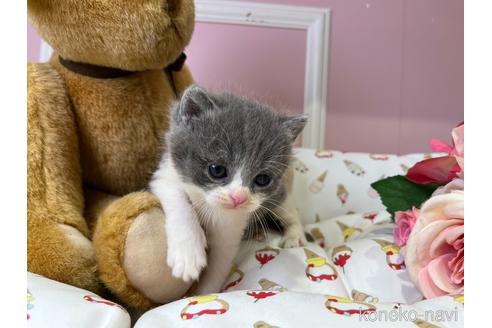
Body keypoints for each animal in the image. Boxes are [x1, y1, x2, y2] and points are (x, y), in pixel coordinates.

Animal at [150, 85, 308, 294]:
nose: (238, 198)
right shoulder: (165, 175)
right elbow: (178, 200)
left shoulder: (230, 231)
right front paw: (188, 254)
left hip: (281, 195)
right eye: (217, 170)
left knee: (292, 212)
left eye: (262, 179)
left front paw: (202, 294)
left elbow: (217, 267)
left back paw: (294, 237)